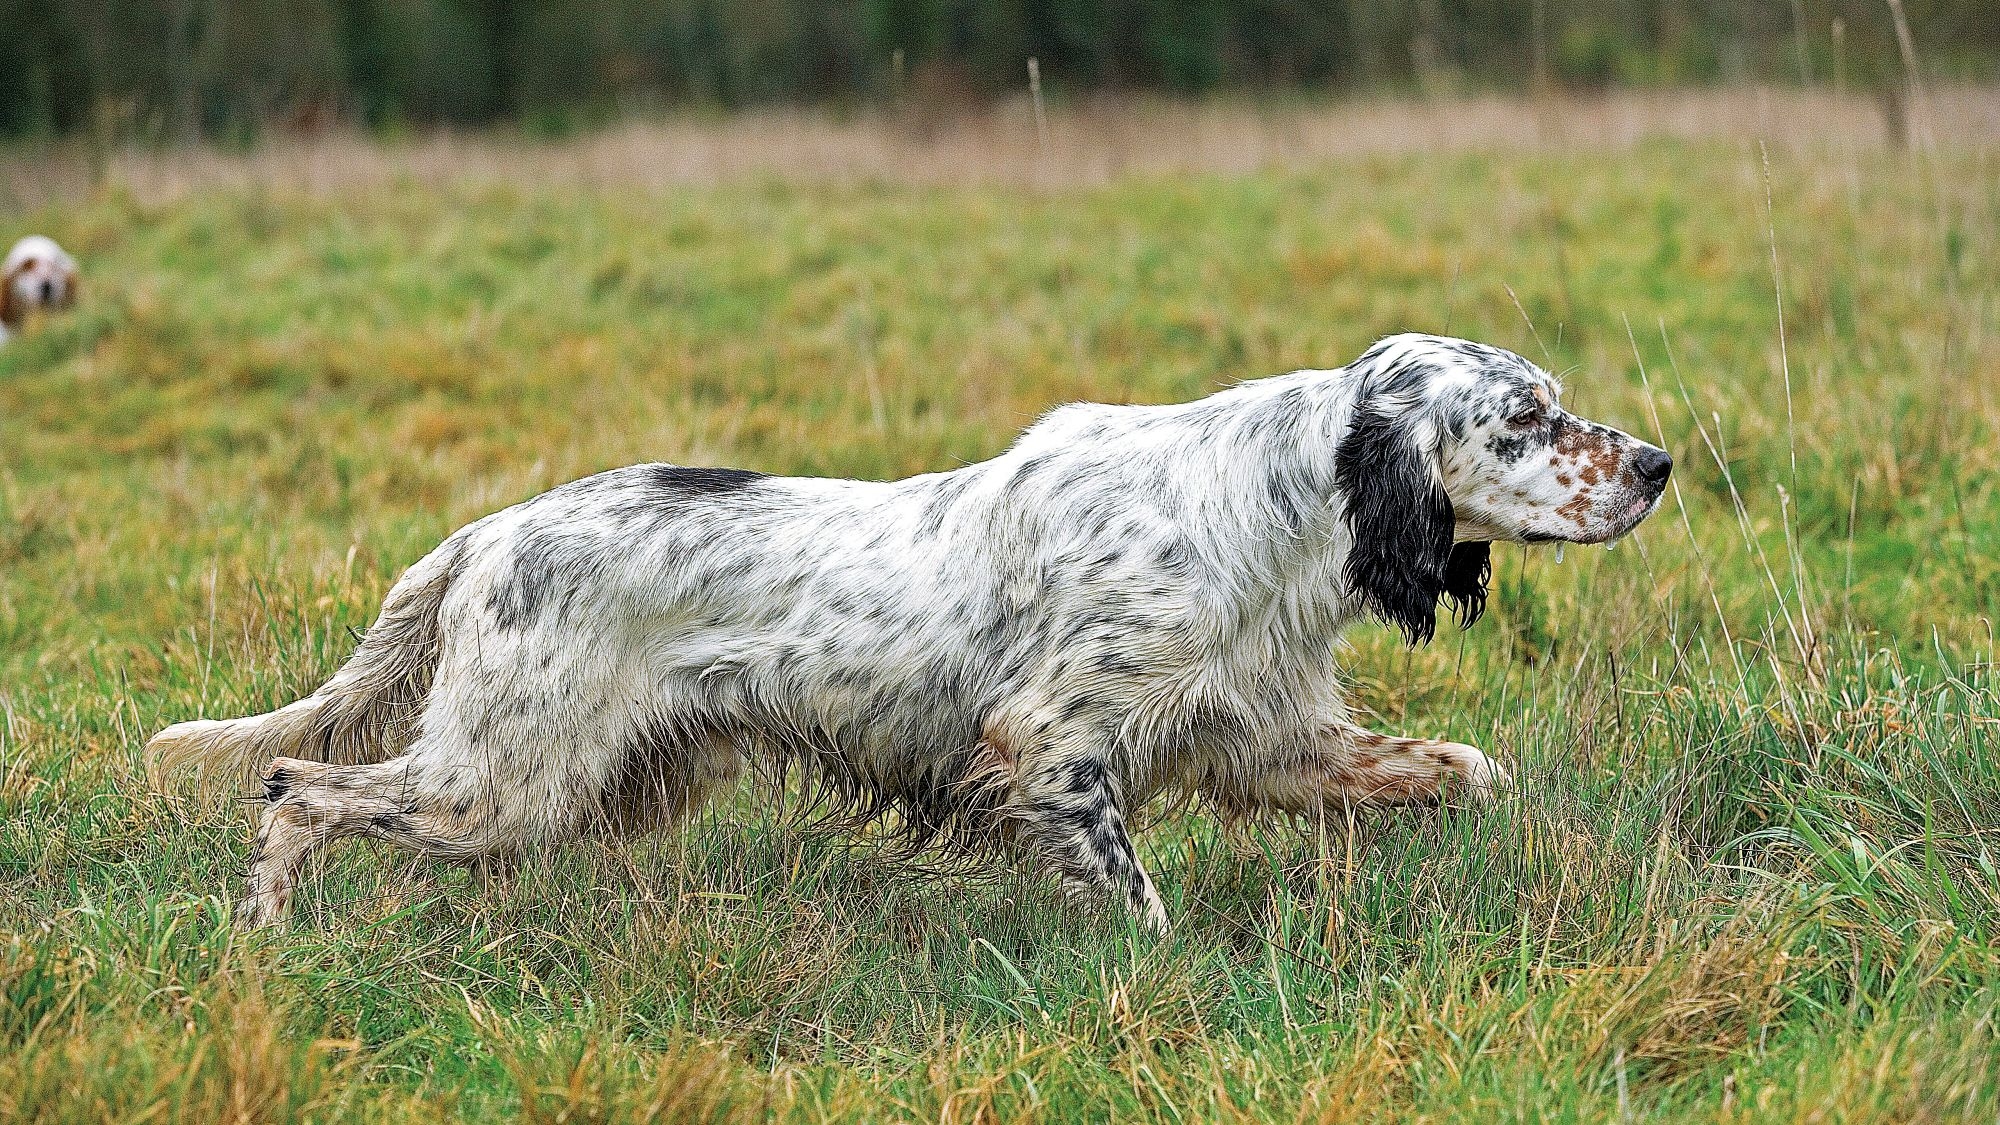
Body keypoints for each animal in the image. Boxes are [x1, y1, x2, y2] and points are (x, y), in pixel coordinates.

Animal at [148, 332, 1664, 928]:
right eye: (1524, 420)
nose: (1654, 464)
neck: (1268, 503)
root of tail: (484, 533)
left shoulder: (1266, 731)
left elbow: (1461, 768)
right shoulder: (1051, 741)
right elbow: (1135, 899)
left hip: (581, 783)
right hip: (503, 781)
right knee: (294, 785)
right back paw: (266, 935)